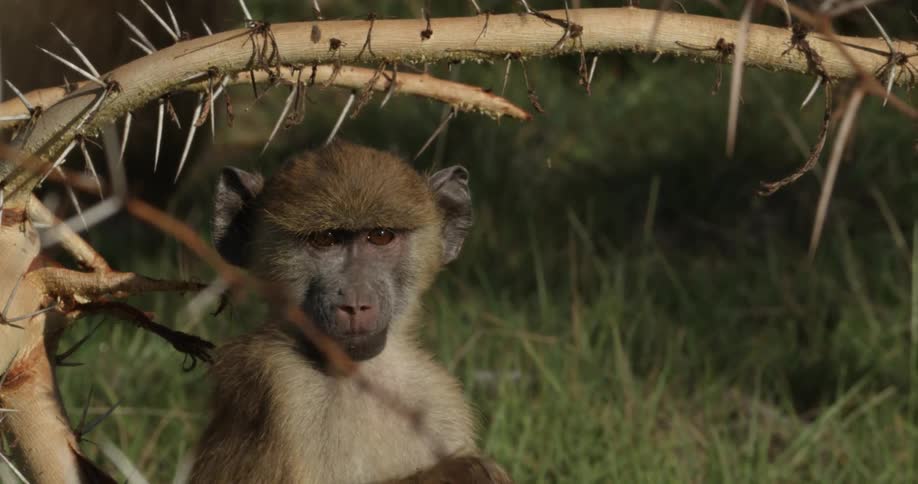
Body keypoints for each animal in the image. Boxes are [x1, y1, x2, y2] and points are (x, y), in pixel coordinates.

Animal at [190, 141, 512, 484]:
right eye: (325, 239)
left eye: (381, 236)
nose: (355, 304)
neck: (360, 375)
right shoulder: (278, 388)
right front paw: (465, 469)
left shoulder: (437, 395)